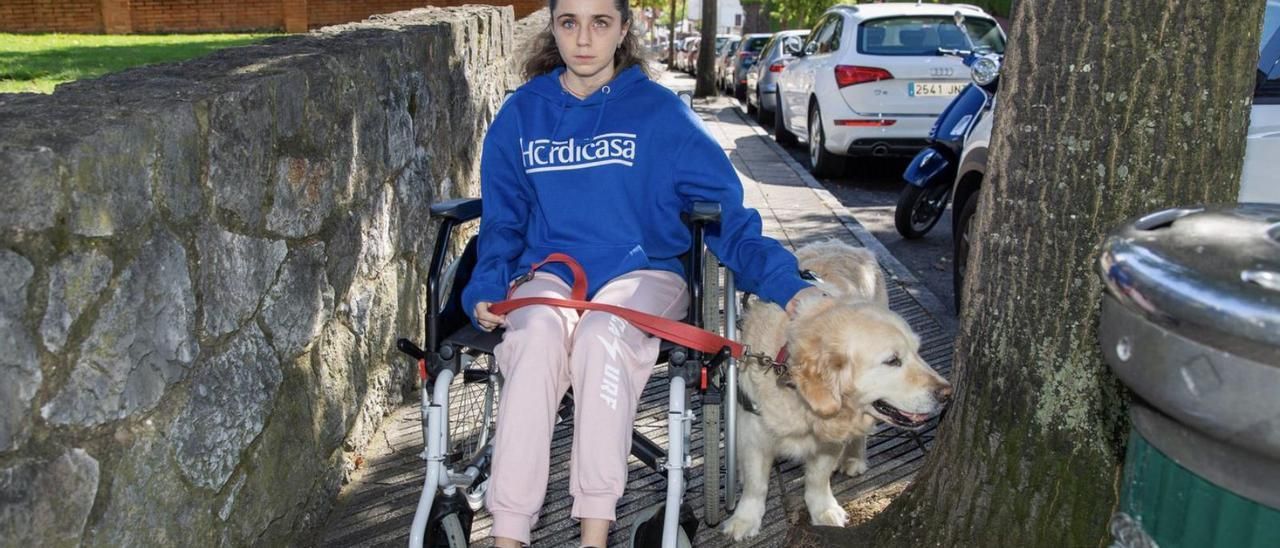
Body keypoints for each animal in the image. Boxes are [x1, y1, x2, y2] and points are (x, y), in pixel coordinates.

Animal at [721, 239, 952, 540]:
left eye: (918, 352)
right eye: (893, 360)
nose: (947, 393)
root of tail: (846, 245)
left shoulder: (829, 441)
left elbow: (818, 478)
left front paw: (824, 510)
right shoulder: (753, 432)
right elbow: (755, 482)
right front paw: (744, 519)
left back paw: (854, 457)